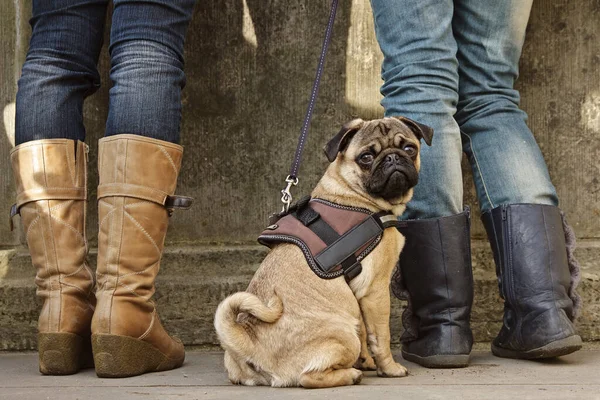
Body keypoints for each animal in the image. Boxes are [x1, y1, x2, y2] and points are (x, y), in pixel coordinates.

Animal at [214, 115, 432, 388]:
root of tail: (248, 344)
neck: (353, 195)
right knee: (308, 377)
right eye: (366, 157)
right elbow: (380, 336)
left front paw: (367, 361)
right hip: (343, 334)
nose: (393, 157)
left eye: (409, 149)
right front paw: (389, 368)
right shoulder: (375, 291)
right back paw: (351, 374)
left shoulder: (357, 296)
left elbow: (364, 329)